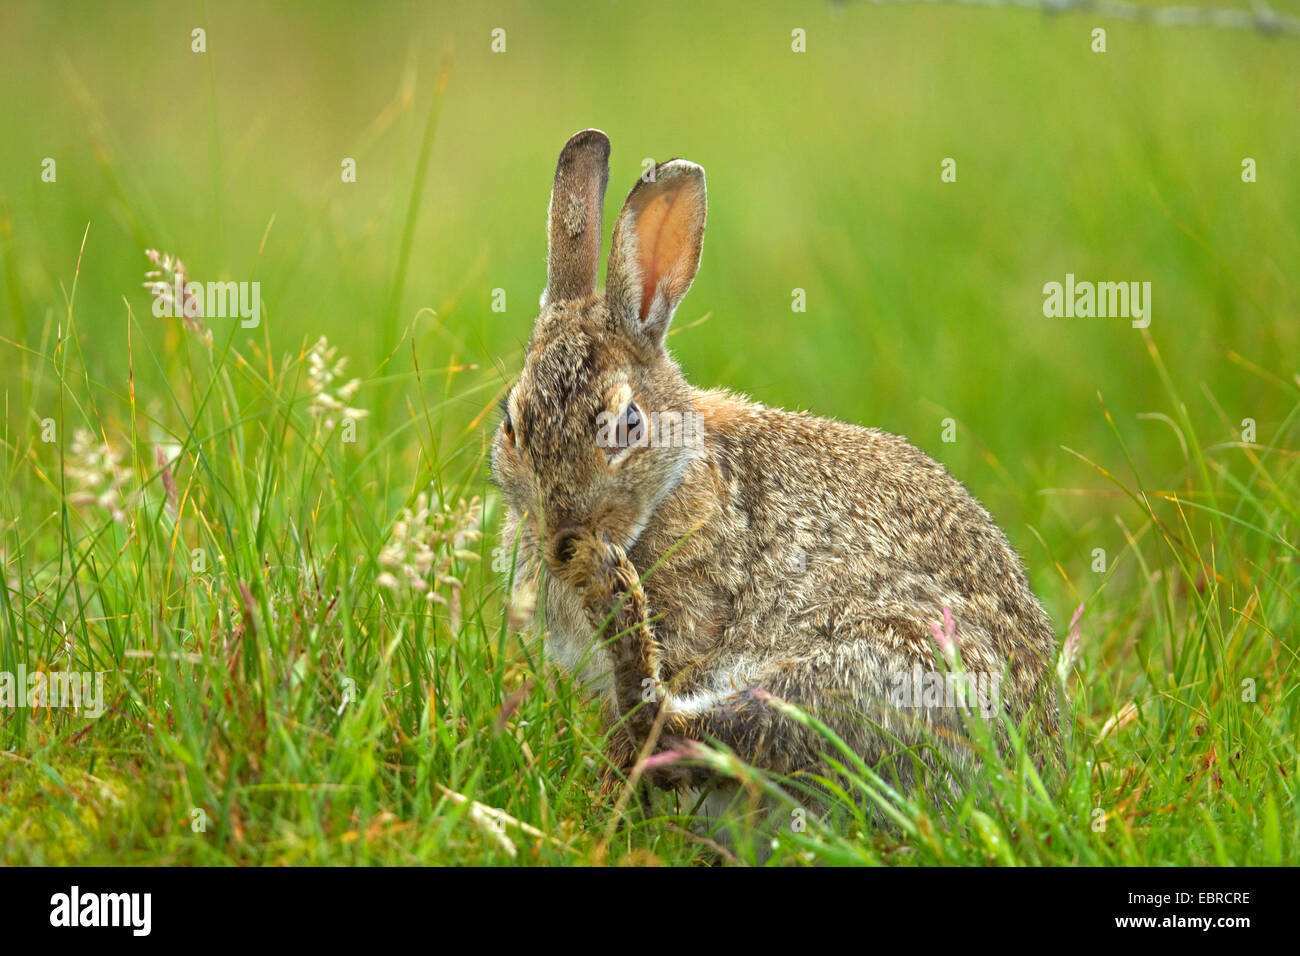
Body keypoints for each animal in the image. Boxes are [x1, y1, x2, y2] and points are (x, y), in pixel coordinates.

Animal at [491, 125, 1060, 816]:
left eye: (627, 426)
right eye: (511, 423)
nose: (563, 539)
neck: (673, 488)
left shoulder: (697, 619)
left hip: (871, 669)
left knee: (681, 726)